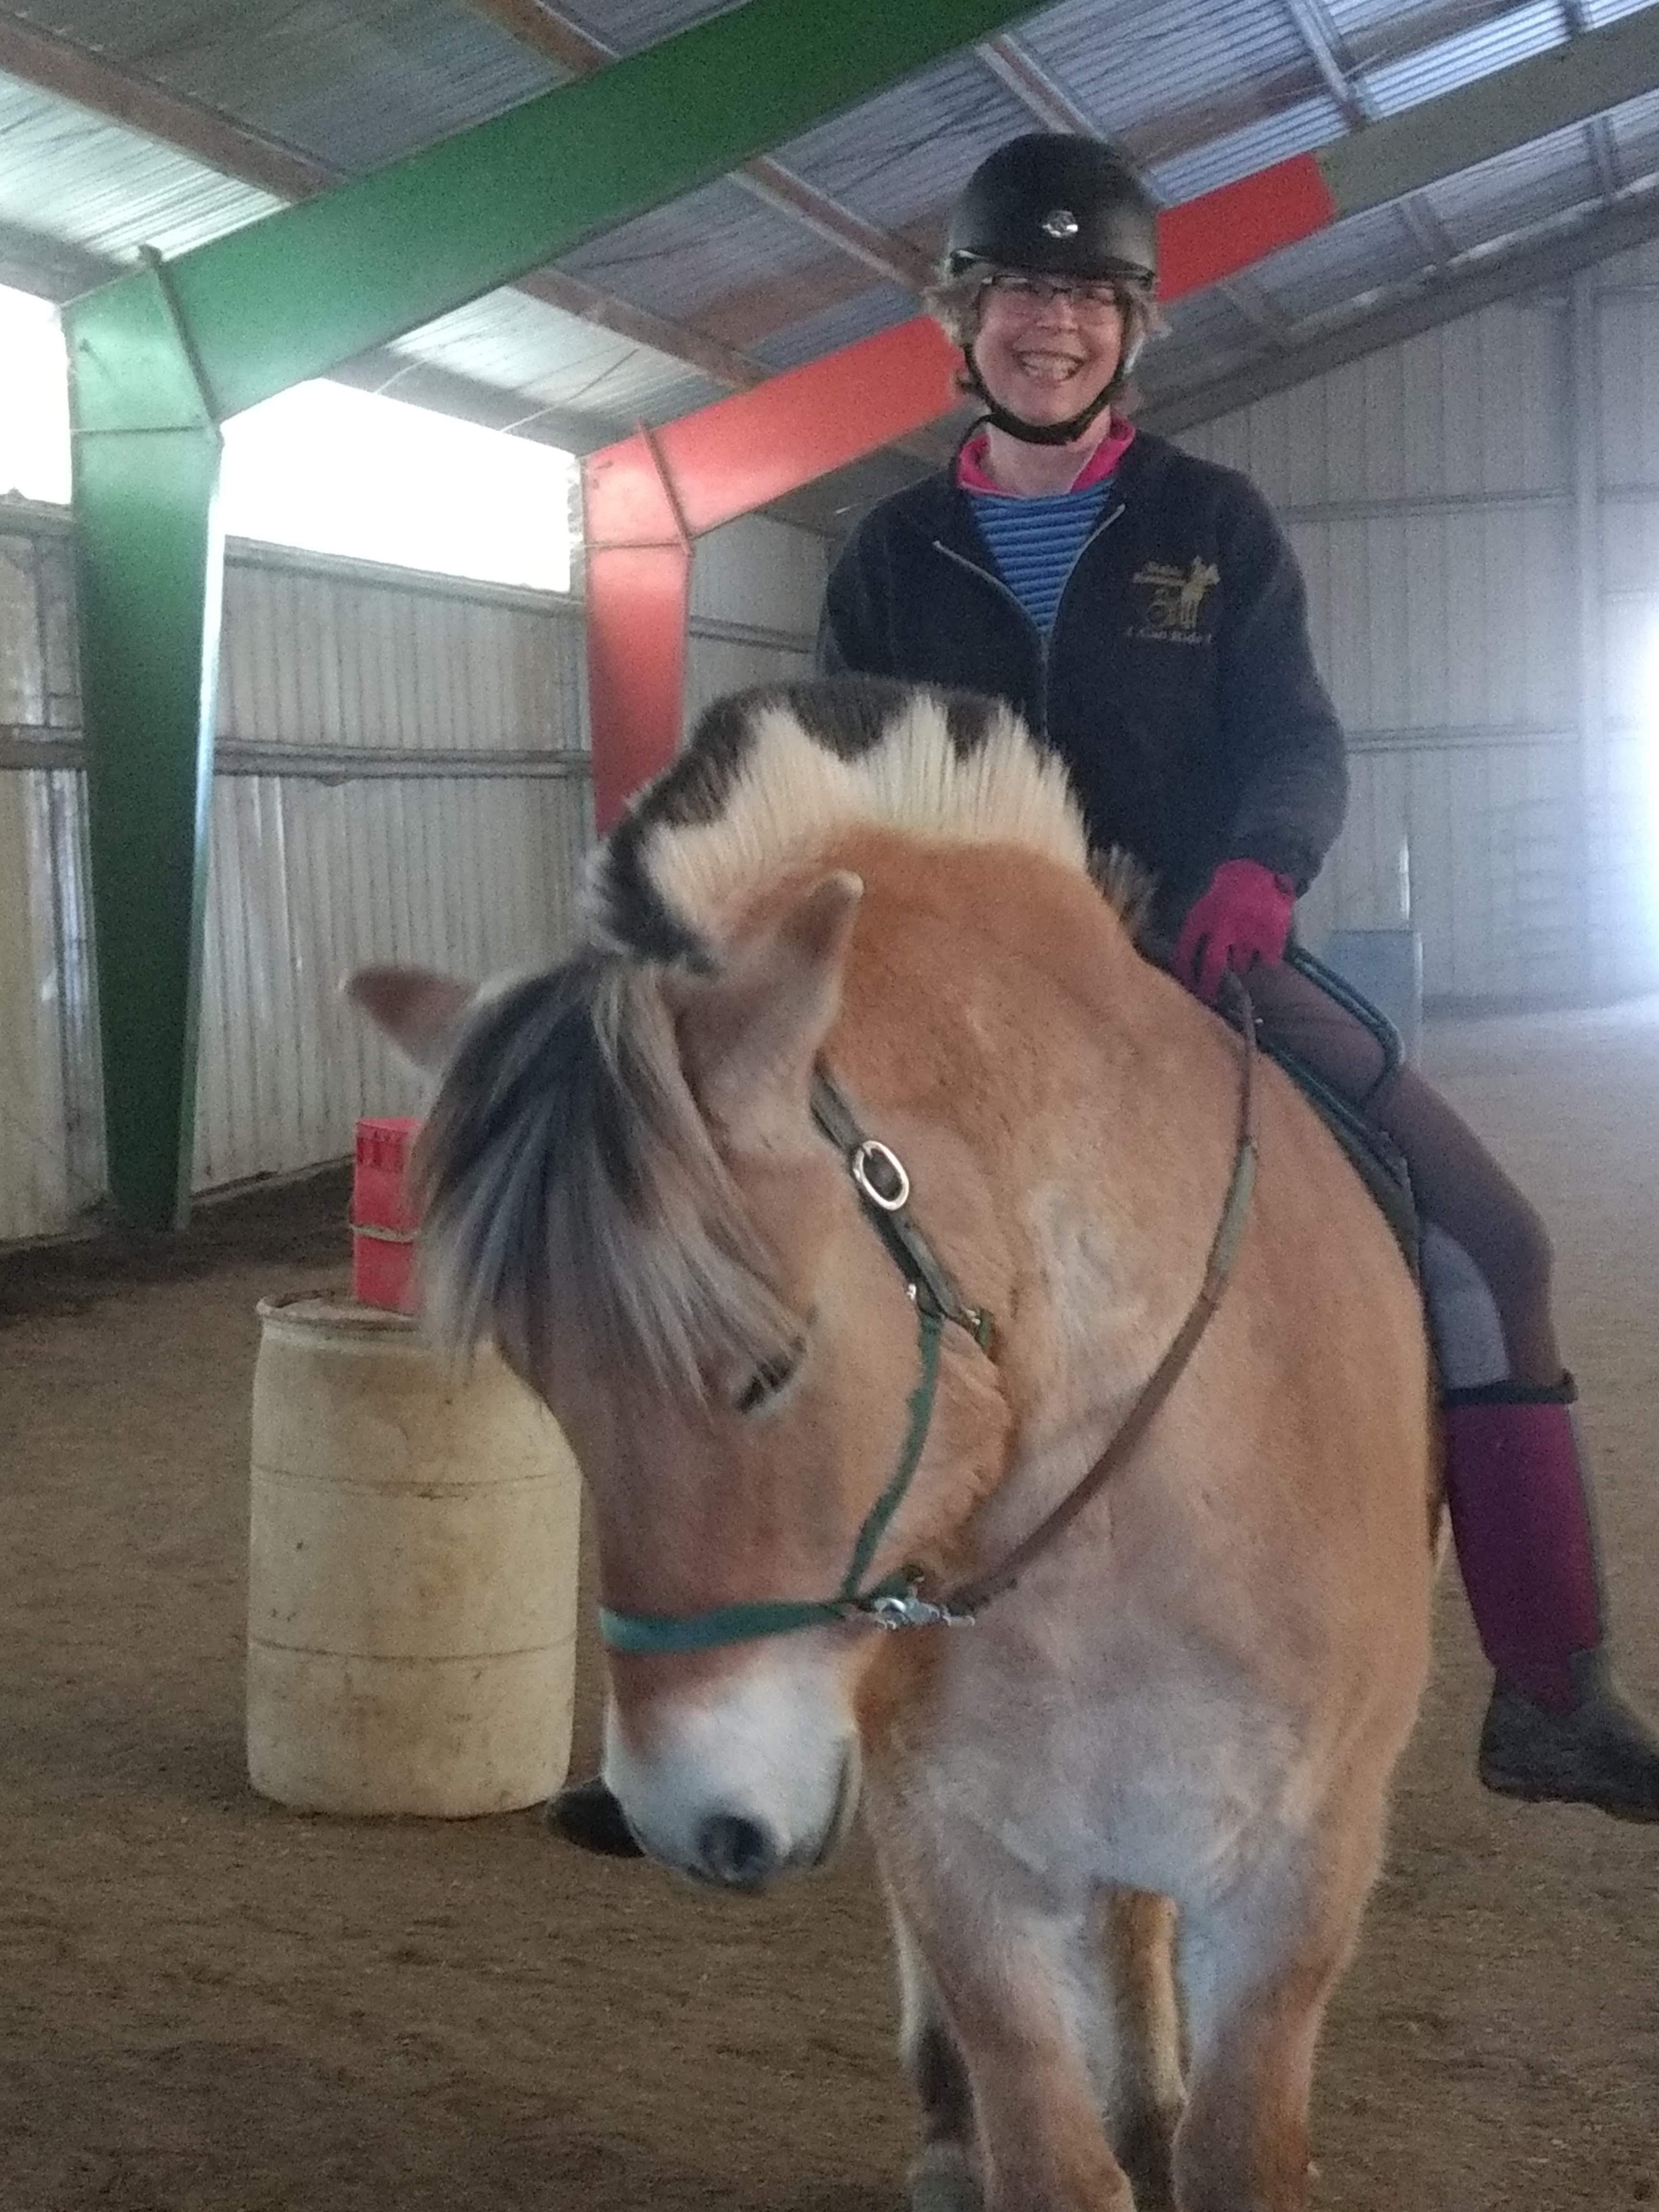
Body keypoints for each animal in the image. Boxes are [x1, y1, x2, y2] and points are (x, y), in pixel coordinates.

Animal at [348, 675, 1436, 2212]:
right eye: (544, 1386)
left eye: (770, 1366)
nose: (687, 1820)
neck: (1113, 1524)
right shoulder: (965, 1866)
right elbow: (1044, 2145)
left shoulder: (1297, 1877)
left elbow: (1237, 2149)